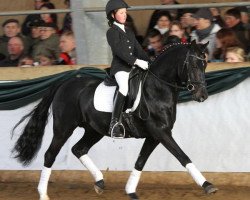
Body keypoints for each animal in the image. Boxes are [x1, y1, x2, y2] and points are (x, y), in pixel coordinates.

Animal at [11, 39, 217, 199]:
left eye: (205, 65)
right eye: (192, 65)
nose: (202, 96)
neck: (157, 89)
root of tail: (65, 82)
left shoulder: (154, 135)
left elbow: (140, 161)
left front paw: (130, 190)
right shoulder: (160, 132)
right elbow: (182, 156)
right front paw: (207, 185)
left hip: (94, 130)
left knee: (79, 149)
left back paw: (100, 182)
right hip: (63, 128)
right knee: (50, 155)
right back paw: (43, 193)